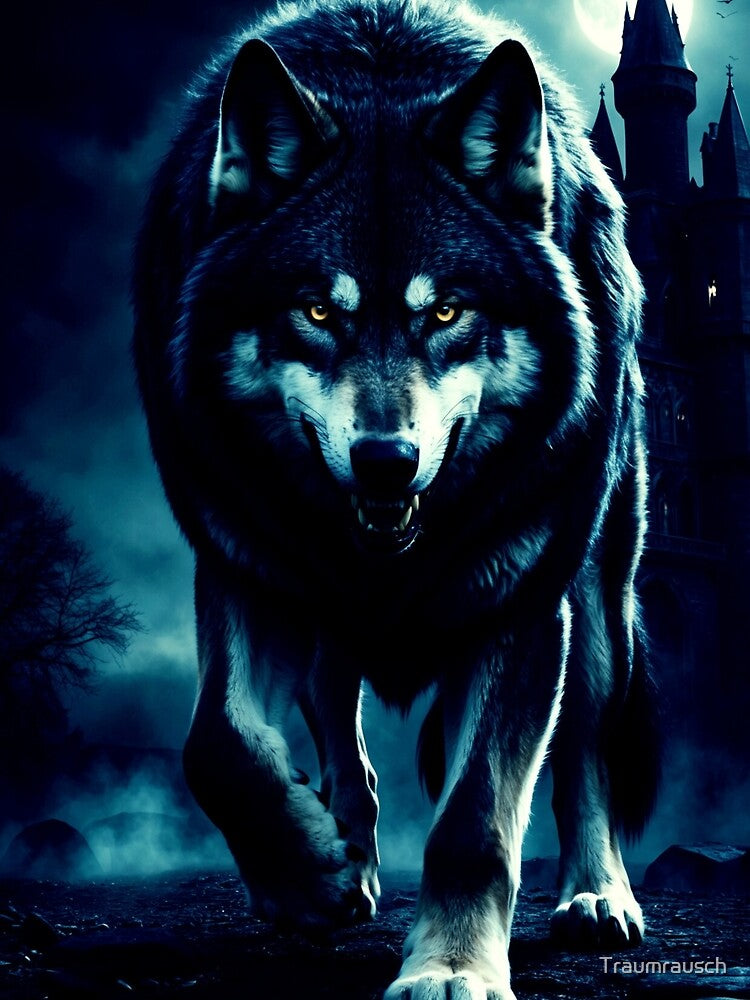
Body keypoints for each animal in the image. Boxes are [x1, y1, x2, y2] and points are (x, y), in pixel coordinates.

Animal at [133, 1, 659, 996]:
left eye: (445, 312)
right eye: (318, 312)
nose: (386, 461)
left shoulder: (520, 603)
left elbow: (474, 822)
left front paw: (451, 968)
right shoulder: (241, 563)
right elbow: (216, 745)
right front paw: (307, 873)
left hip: (599, 596)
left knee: (588, 747)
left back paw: (595, 897)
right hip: (319, 610)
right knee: (334, 717)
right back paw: (344, 847)